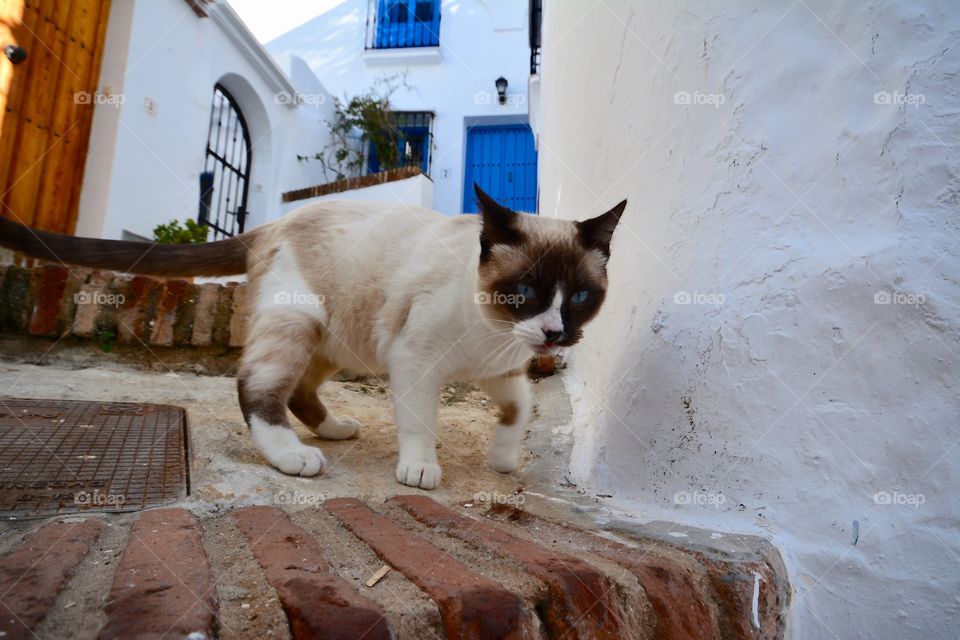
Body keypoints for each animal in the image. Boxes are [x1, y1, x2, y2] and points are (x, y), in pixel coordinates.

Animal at [0, 185, 628, 490]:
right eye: (523, 290)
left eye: (578, 296)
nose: (555, 333)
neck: (493, 331)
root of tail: (272, 223)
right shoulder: (417, 363)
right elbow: (421, 425)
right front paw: (421, 470)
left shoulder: (499, 369)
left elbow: (519, 411)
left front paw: (501, 460)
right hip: (300, 325)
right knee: (256, 386)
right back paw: (293, 457)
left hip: (339, 342)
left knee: (301, 391)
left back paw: (334, 429)